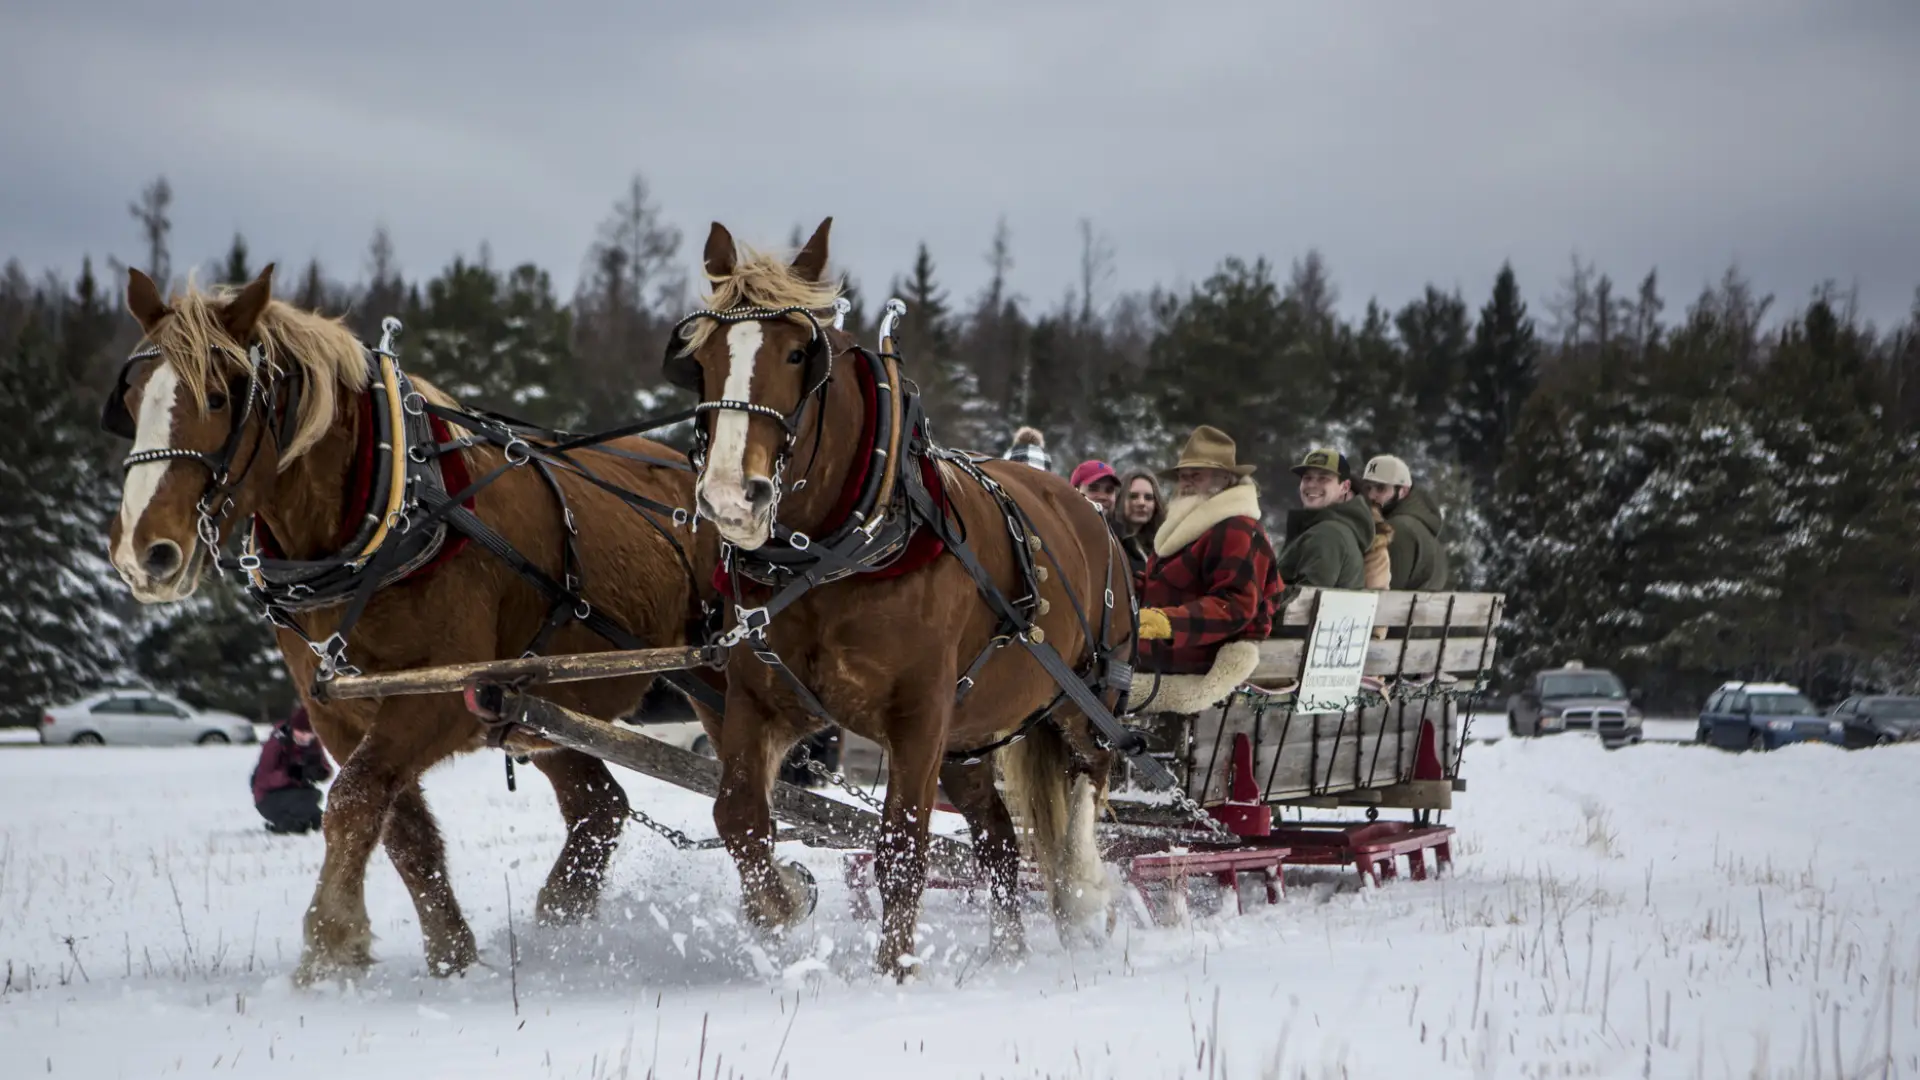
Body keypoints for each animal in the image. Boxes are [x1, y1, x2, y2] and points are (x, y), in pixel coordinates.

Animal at [101, 265, 718, 985]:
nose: (144, 552)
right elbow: (401, 829)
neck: (394, 508)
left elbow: (353, 799)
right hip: (547, 707)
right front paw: (452, 957)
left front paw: (329, 946)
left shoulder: (443, 698)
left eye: (223, 396)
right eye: (130, 397)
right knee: (599, 808)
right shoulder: (338, 712)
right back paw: (561, 923)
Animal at [669, 219, 1135, 977]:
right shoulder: (764, 701)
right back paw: (1007, 955)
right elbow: (738, 817)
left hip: (1085, 701)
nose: (732, 497)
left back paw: (1084, 899)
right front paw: (783, 905)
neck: (841, 553)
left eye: (799, 353)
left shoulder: (919, 716)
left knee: (1087, 791)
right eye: (701, 356)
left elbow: (902, 850)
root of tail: (1089, 510)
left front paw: (893, 973)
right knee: (998, 840)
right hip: (972, 737)